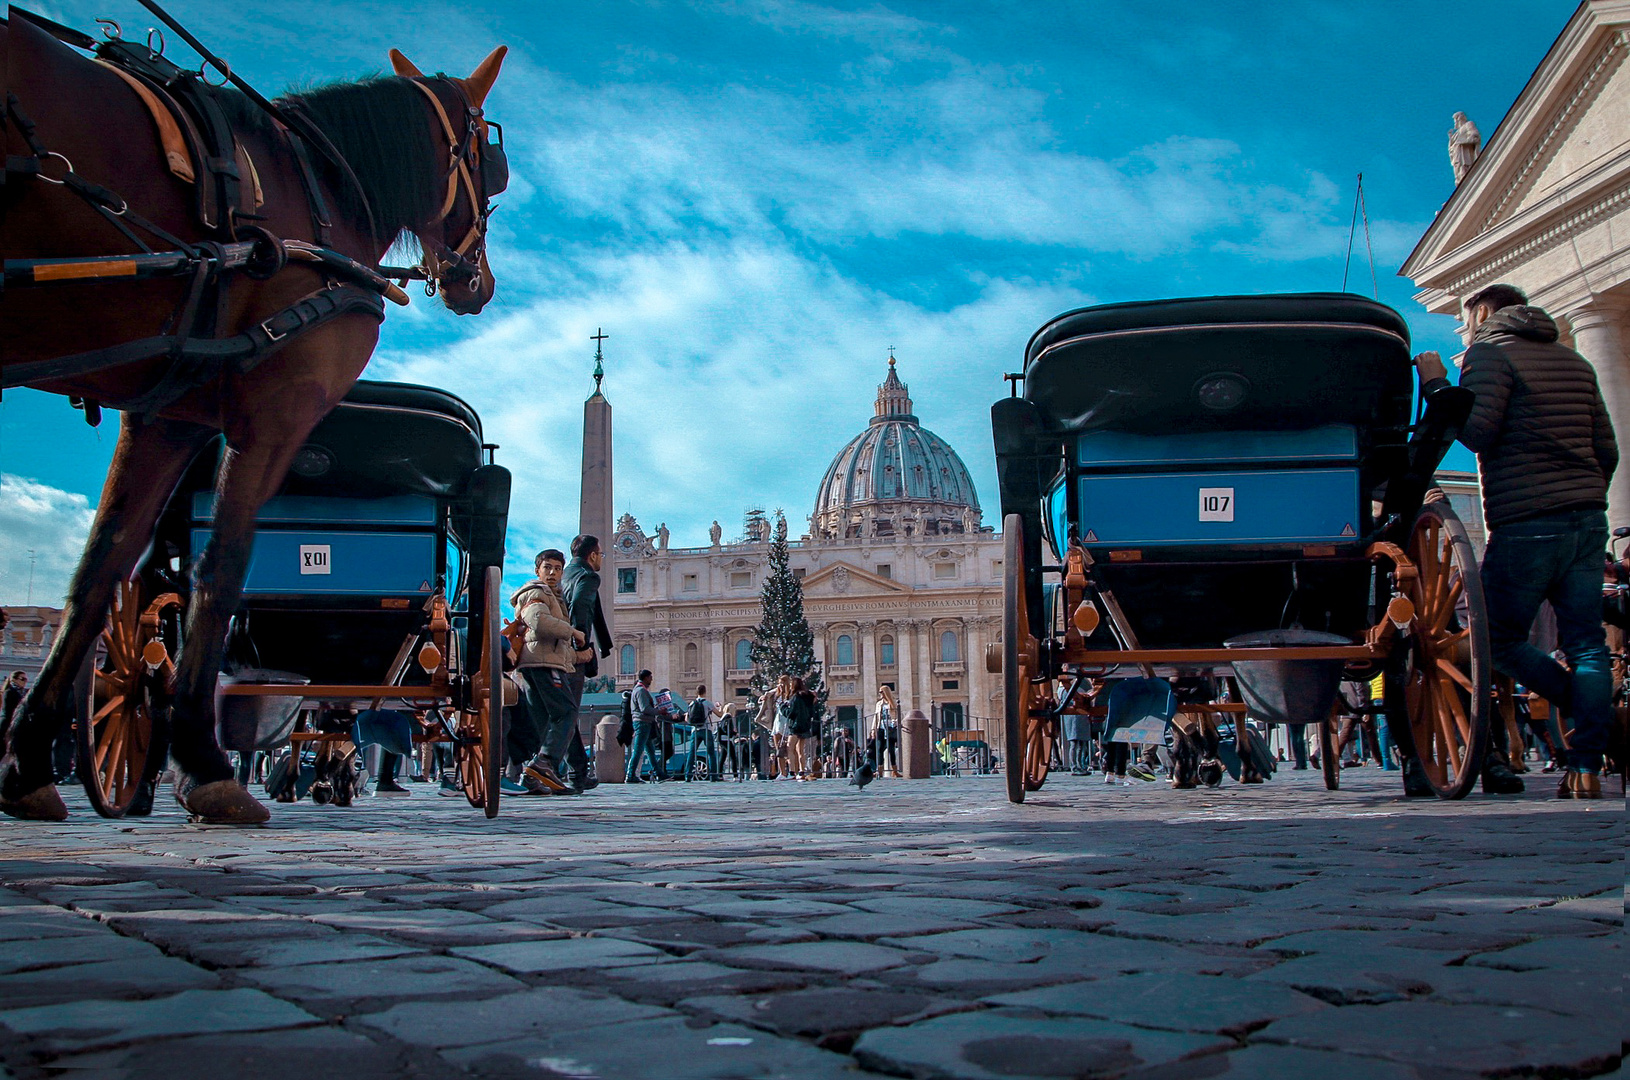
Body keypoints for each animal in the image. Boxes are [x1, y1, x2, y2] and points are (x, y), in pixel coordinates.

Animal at [1, 8, 508, 824]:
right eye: (493, 162)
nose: (476, 283)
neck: (318, 188)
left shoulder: (167, 412)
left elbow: (101, 563)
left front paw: (28, 765)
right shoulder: (279, 404)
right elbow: (223, 564)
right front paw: (206, 764)